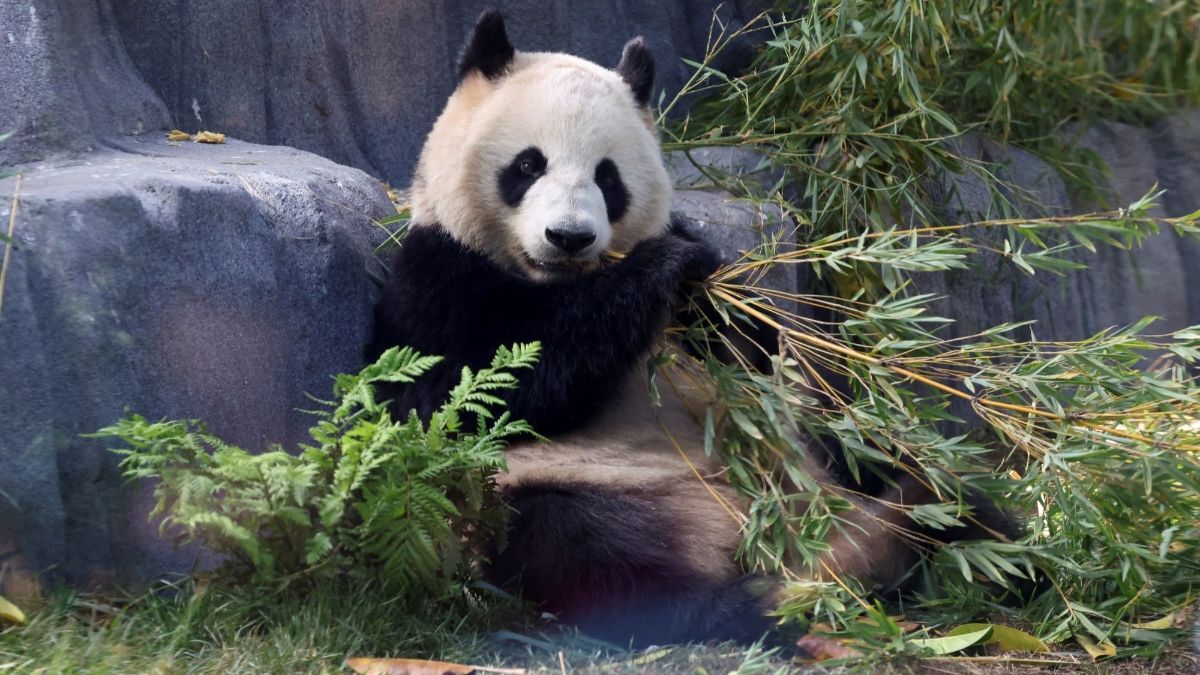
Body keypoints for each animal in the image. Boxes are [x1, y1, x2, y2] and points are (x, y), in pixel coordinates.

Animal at [372, 9, 1012, 638]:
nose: (569, 237)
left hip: (815, 460)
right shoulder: (437, 276)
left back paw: (975, 547)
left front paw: (709, 288)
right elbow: (463, 396)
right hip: (548, 491)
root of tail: (770, 539)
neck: (558, 281)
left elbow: (754, 350)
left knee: (902, 467)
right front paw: (662, 267)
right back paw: (739, 606)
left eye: (608, 178)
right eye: (528, 165)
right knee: (584, 544)